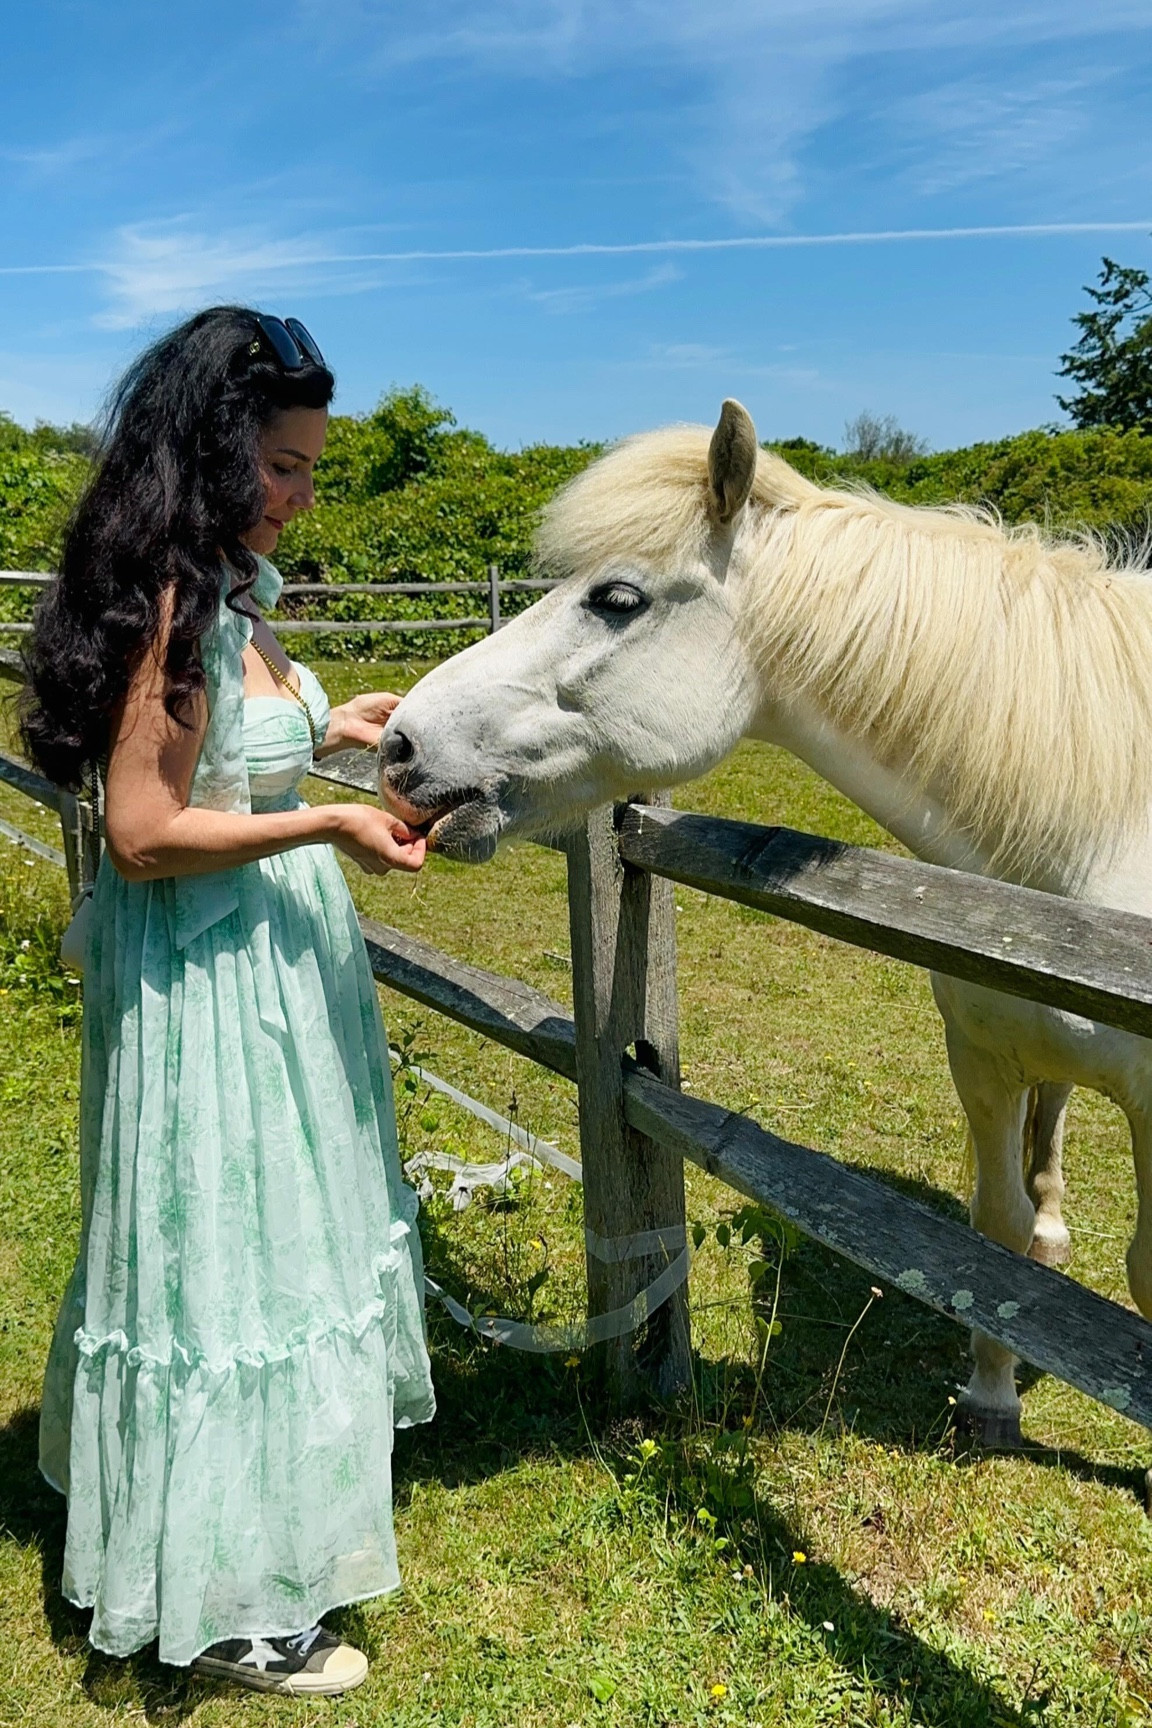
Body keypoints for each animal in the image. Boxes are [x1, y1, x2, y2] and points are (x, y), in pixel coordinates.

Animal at [378, 399, 1152, 1446]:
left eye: (616, 598)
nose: (397, 744)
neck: (1089, 844)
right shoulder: (982, 1061)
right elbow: (991, 1242)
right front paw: (992, 1394)